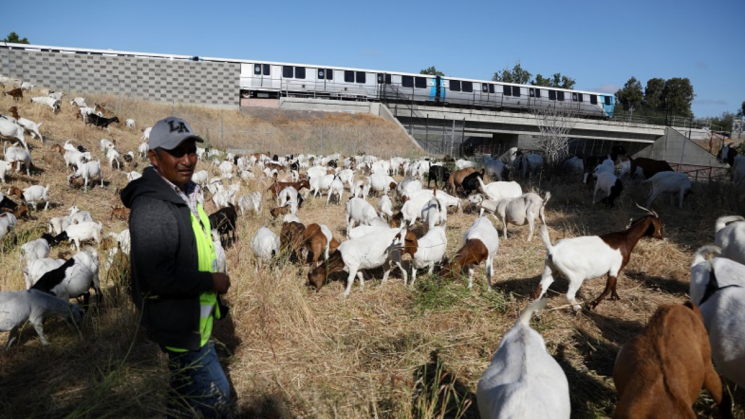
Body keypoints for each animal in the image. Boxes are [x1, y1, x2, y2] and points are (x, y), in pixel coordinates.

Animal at [528, 213, 664, 312]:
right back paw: (577, 308)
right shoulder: (614, 268)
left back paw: (536, 314)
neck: (626, 239)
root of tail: (553, 249)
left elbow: (614, 284)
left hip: (550, 271)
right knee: (569, 295)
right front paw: (593, 304)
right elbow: (608, 287)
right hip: (576, 275)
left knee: (538, 291)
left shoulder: (616, 269)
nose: (663, 237)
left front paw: (615, 297)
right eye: (660, 225)